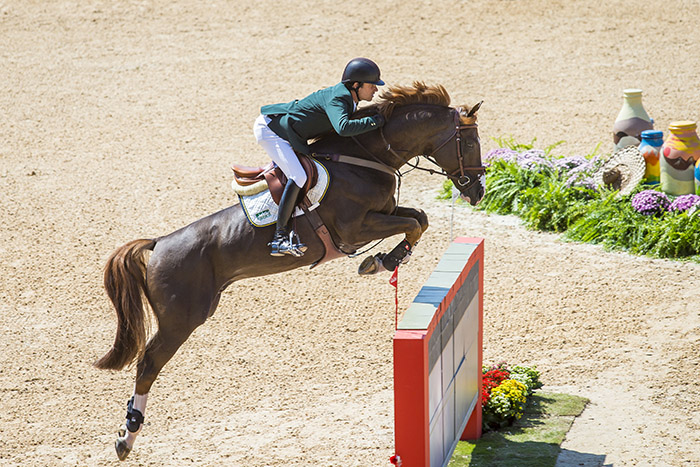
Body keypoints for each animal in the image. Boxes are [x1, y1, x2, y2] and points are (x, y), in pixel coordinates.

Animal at [95, 81, 484, 460]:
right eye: (470, 142)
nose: (478, 191)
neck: (366, 159)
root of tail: (159, 243)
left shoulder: (384, 214)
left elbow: (420, 218)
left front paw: (385, 260)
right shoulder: (356, 228)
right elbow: (414, 223)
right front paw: (381, 261)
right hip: (181, 320)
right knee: (148, 364)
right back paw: (127, 436)